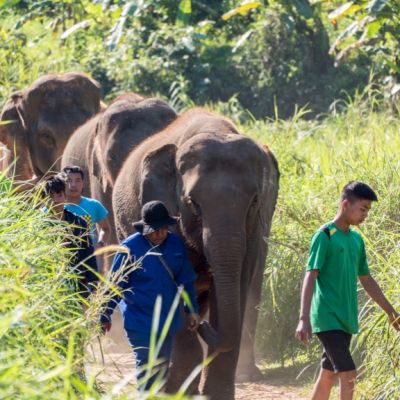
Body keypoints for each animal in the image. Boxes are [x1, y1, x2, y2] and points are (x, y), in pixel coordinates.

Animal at [109, 108, 278, 398]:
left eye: (254, 201)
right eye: (192, 204)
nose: (201, 324)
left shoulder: (255, 228)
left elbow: (238, 284)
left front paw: (216, 394)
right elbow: (174, 286)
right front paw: (180, 389)